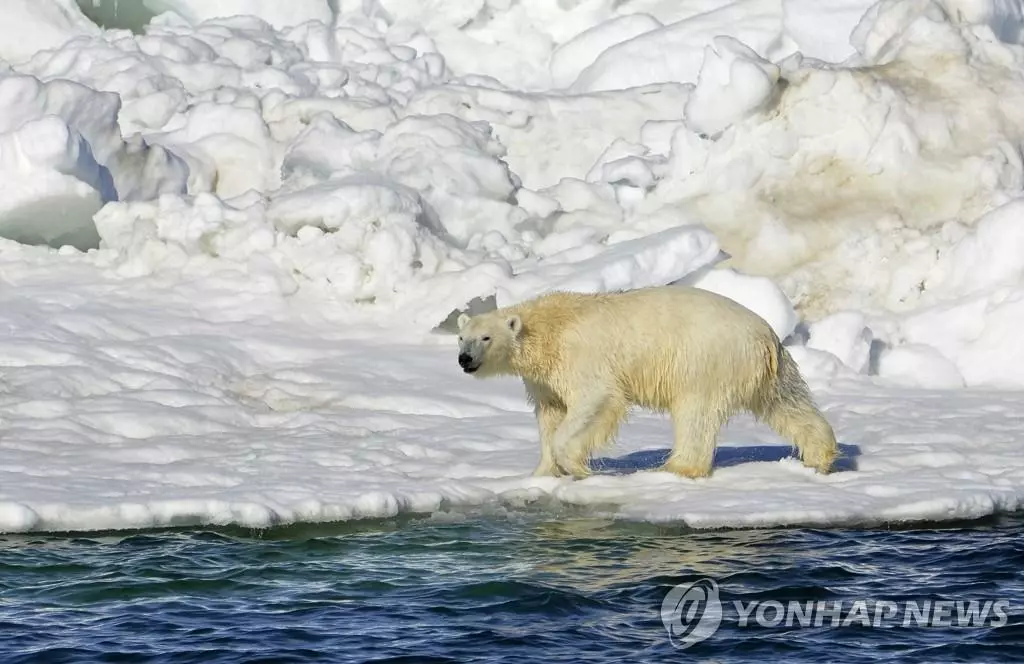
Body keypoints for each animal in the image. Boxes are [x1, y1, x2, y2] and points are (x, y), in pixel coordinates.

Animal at [458, 284, 839, 477]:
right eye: (462, 338)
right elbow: (550, 414)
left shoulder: (582, 358)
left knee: (695, 414)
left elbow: (595, 400)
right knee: (787, 403)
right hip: (768, 369)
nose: (465, 359)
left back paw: (678, 467)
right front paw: (543, 472)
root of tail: (764, 335)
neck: (549, 328)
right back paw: (819, 457)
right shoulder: (545, 379)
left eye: (486, 338)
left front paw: (575, 466)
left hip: (704, 360)